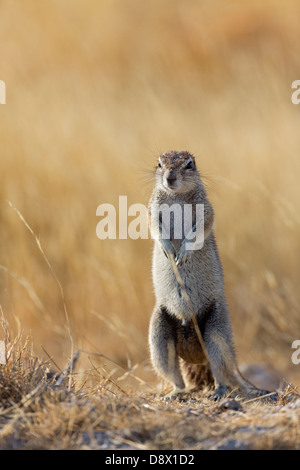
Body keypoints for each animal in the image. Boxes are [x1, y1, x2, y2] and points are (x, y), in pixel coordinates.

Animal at [149, 151, 247, 400]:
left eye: (189, 164)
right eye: (159, 164)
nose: (170, 178)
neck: (177, 196)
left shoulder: (206, 210)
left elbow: (199, 230)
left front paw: (183, 253)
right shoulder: (152, 208)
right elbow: (154, 227)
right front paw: (168, 250)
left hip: (216, 333)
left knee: (221, 372)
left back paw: (219, 391)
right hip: (158, 336)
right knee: (174, 374)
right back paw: (175, 393)